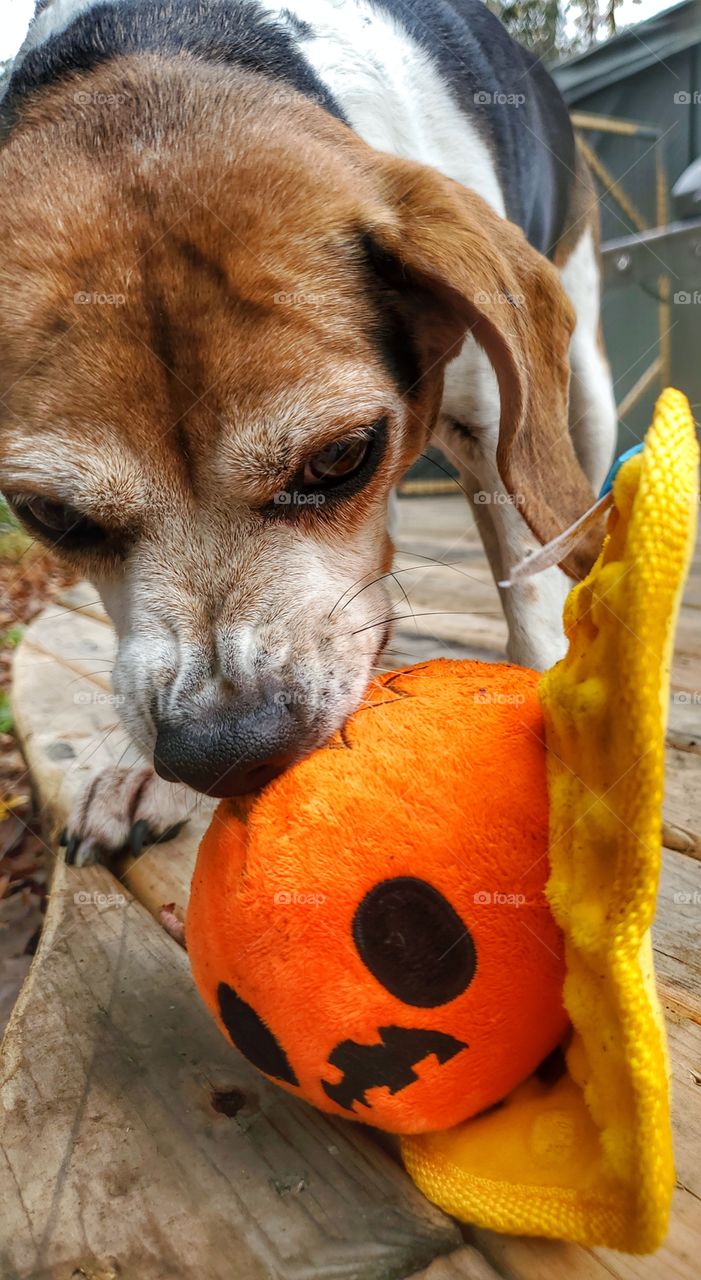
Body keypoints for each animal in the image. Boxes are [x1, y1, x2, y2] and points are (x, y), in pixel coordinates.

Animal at [0, 0, 614, 865]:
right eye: (49, 514)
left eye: (339, 457)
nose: (224, 754)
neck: (160, 40)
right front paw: (149, 783)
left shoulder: (490, 422)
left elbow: (526, 593)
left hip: (581, 375)